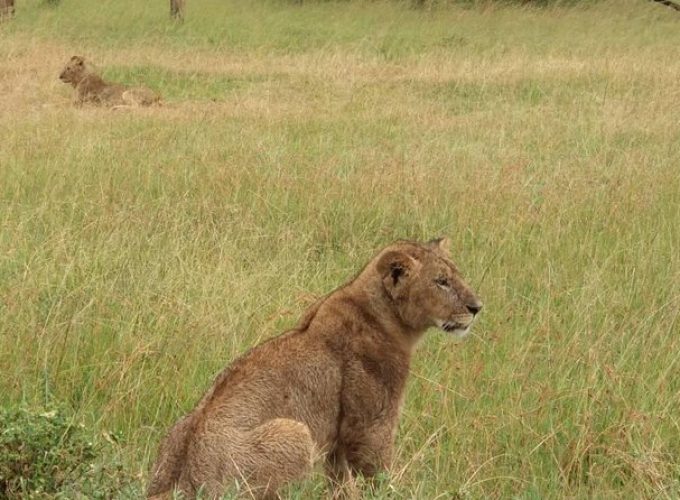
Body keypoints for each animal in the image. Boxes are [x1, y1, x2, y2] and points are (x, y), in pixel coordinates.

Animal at [147, 237, 484, 496]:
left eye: (456, 275)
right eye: (441, 282)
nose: (477, 307)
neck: (386, 318)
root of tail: (183, 484)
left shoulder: (336, 442)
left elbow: (341, 485)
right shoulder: (370, 427)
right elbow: (377, 476)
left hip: (180, 426)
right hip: (295, 433)